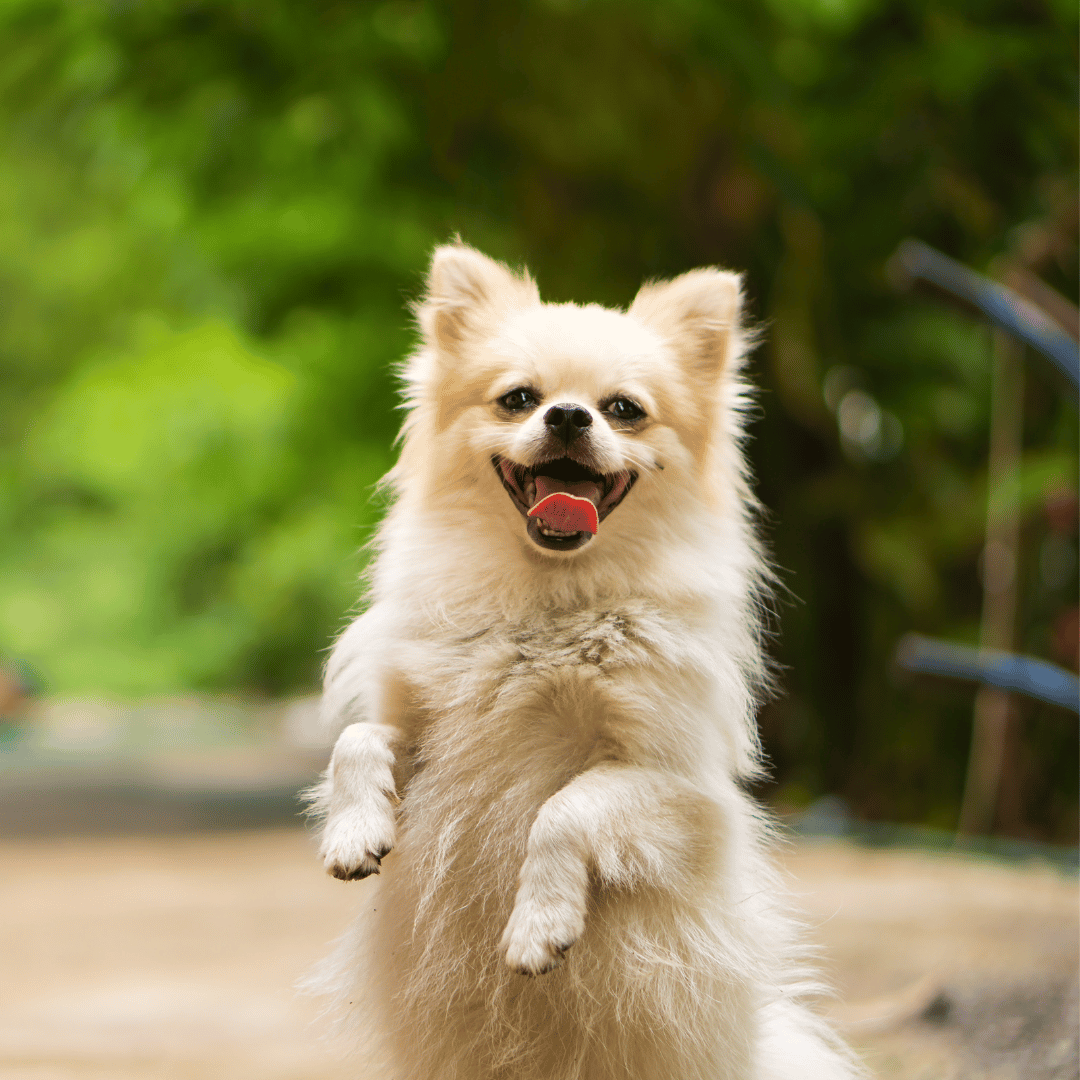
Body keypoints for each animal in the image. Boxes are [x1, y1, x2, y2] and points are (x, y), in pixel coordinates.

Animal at [306, 245, 859, 1080]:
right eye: (518, 399)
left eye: (624, 409)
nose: (568, 415)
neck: (549, 604)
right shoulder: (426, 734)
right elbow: (358, 739)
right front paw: (352, 831)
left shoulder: (674, 788)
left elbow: (563, 809)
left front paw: (540, 927)